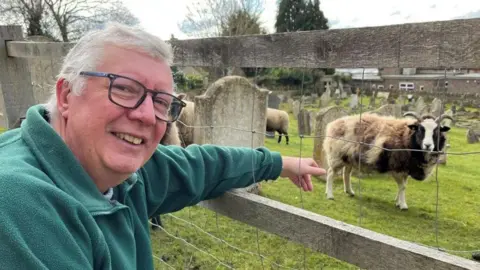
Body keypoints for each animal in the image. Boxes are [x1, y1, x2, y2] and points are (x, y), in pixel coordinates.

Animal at [324, 110, 452, 210]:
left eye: (437, 131)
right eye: (420, 129)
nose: (428, 145)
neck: (407, 137)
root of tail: (334, 124)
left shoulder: (406, 169)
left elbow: (403, 186)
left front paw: (398, 201)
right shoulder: (396, 167)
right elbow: (403, 186)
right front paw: (403, 205)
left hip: (348, 157)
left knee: (347, 173)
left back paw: (349, 191)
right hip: (336, 155)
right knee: (330, 173)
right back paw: (329, 195)